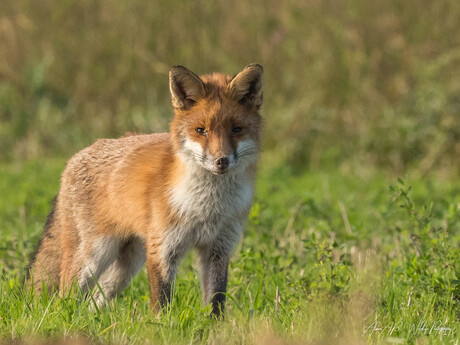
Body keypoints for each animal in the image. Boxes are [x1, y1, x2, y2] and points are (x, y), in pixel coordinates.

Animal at [28, 63, 264, 318]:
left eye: (237, 129)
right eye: (201, 130)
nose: (221, 161)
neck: (208, 208)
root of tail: (74, 157)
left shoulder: (219, 249)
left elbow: (216, 299)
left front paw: (214, 326)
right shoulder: (162, 248)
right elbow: (161, 300)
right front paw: (163, 325)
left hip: (127, 265)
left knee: (95, 301)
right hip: (94, 255)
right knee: (65, 296)